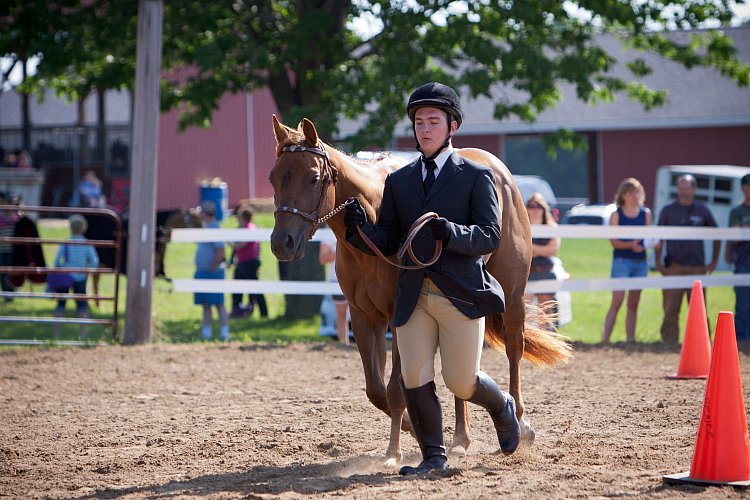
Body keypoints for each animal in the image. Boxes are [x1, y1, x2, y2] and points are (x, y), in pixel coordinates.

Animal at [270, 115, 568, 462]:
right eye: (274, 178)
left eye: (313, 178)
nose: (282, 244)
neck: (373, 229)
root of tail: (500, 172)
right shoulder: (364, 317)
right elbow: (376, 391)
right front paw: (412, 431)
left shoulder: (398, 315)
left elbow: (395, 389)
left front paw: (393, 452)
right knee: (462, 369)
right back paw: (461, 438)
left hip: (513, 294)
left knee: (513, 351)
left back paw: (520, 425)